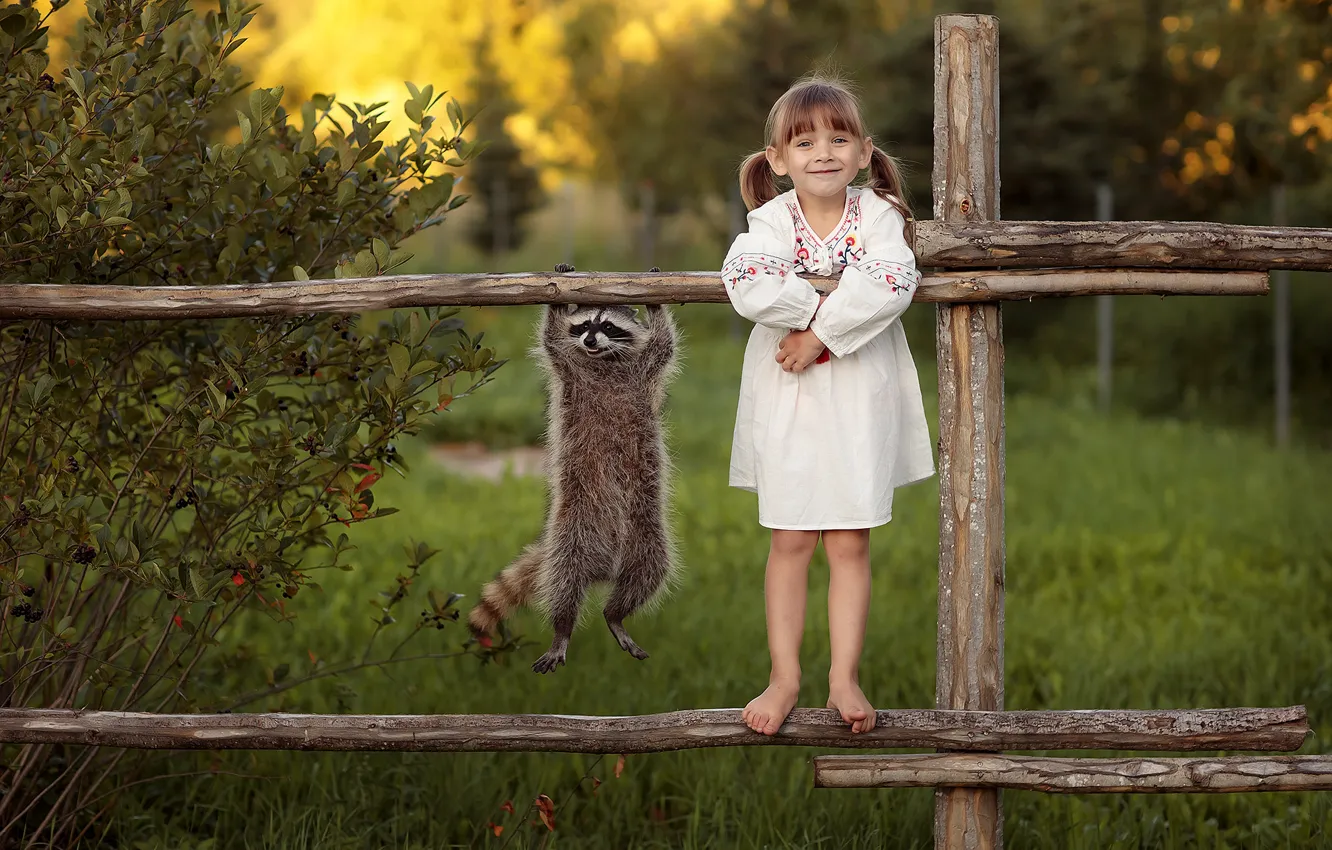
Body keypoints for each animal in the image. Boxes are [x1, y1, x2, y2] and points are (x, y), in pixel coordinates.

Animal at [468, 298, 681, 673]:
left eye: (608, 326)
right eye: (583, 326)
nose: (590, 341)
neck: (604, 362)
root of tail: (605, 569)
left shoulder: (644, 370)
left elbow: (663, 343)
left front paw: (655, 306)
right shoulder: (569, 367)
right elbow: (552, 337)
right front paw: (556, 301)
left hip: (646, 535)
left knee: (649, 573)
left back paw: (615, 614)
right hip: (572, 534)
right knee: (563, 582)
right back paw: (563, 628)